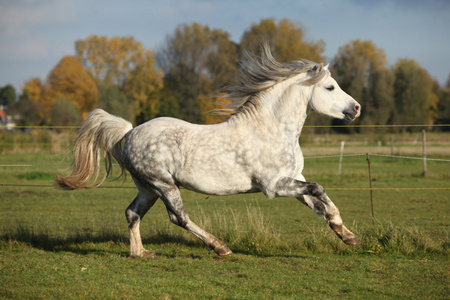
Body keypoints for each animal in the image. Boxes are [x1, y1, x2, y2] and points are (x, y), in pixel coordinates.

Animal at [56, 45, 362, 258]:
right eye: (330, 87)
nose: (356, 108)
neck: (271, 129)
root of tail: (129, 132)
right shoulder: (274, 186)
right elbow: (319, 189)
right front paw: (343, 229)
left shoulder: (293, 179)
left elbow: (319, 202)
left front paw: (346, 234)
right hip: (163, 185)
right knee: (178, 218)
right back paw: (220, 247)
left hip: (147, 188)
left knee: (132, 213)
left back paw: (140, 253)